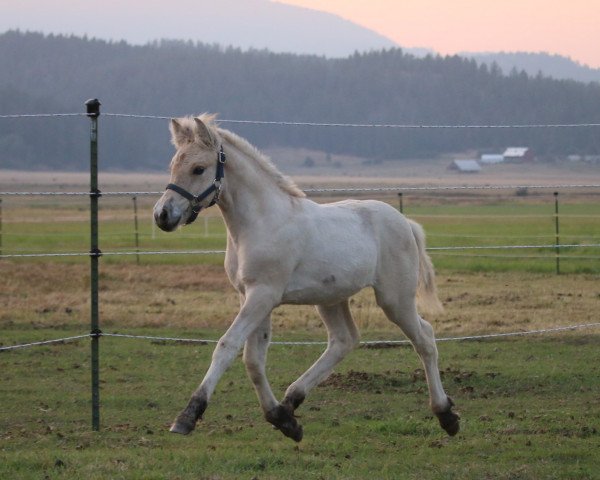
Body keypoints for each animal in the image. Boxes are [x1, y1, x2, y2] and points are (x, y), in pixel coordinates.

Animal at [154, 113, 460, 442]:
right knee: (344, 340)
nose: (162, 215)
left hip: (395, 299)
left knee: (424, 338)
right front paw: (280, 419)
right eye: (173, 165)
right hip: (331, 298)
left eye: (199, 168)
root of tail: (405, 223)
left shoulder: (263, 294)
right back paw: (290, 402)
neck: (260, 222)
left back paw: (446, 415)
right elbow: (254, 360)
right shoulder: (251, 296)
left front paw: (187, 417)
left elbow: (228, 346)